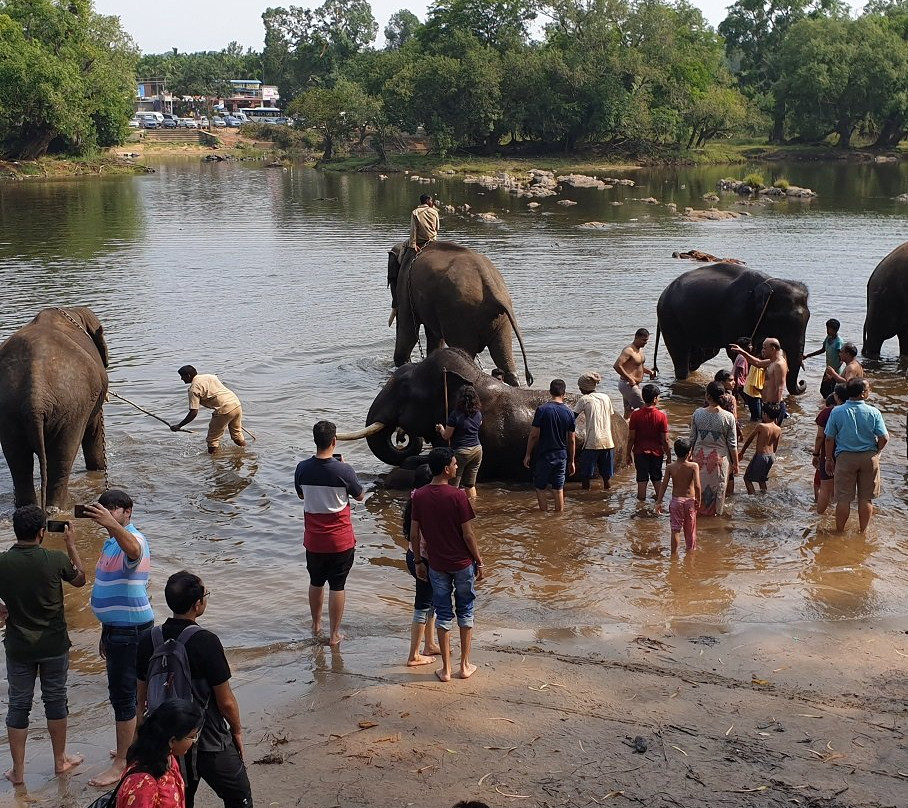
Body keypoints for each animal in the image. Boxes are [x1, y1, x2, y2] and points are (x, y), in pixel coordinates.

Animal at [0, 306, 110, 508]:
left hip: (9, 411)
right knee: (62, 458)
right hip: (73, 409)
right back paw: (61, 505)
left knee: (18, 461)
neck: (73, 313)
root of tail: (36, 392)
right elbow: (94, 429)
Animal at [384, 240, 532, 388]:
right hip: (500, 318)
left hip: (460, 317)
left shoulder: (405, 284)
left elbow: (408, 331)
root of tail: (489, 285)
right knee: (504, 355)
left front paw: (402, 365)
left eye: (390, 279)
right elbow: (434, 337)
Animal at [652, 264, 808, 396]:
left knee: (701, 355)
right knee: (680, 354)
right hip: (669, 318)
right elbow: (735, 352)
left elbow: (756, 352)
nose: (802, 382)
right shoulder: (734, 315)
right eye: (783, 322)